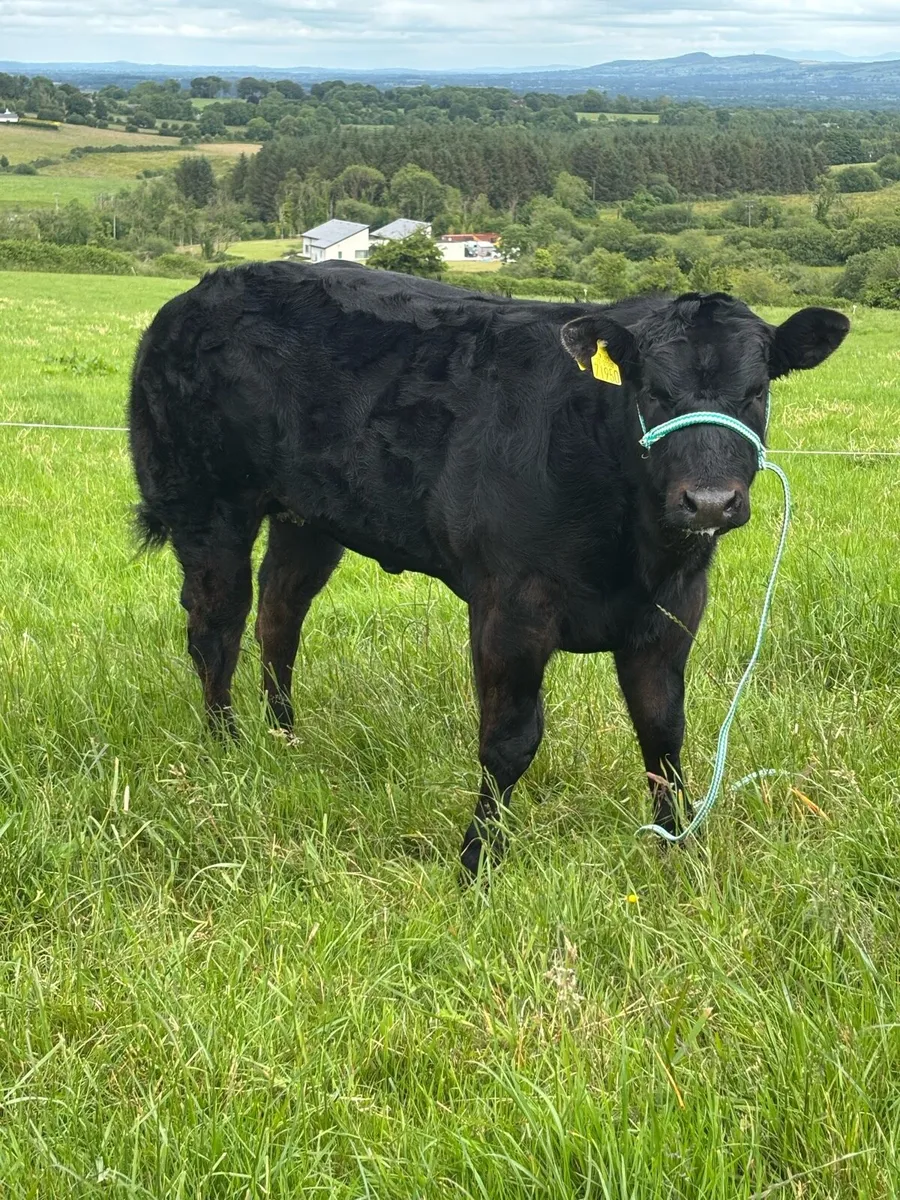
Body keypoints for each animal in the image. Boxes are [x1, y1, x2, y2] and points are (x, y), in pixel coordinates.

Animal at [128, 262, 849, 875]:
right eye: (652, 389)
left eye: (755, 390)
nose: (708, 500)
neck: (633, 549)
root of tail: (196, 294)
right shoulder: (511, 605)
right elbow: (509, 740)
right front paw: (477, 863)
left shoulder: (672, 609)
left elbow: (663, 733)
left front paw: (678, 852)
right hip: (205, 503)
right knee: (216, 627)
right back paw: (225, 747)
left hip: (307, 518)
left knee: (280, 616)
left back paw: (285, 736)